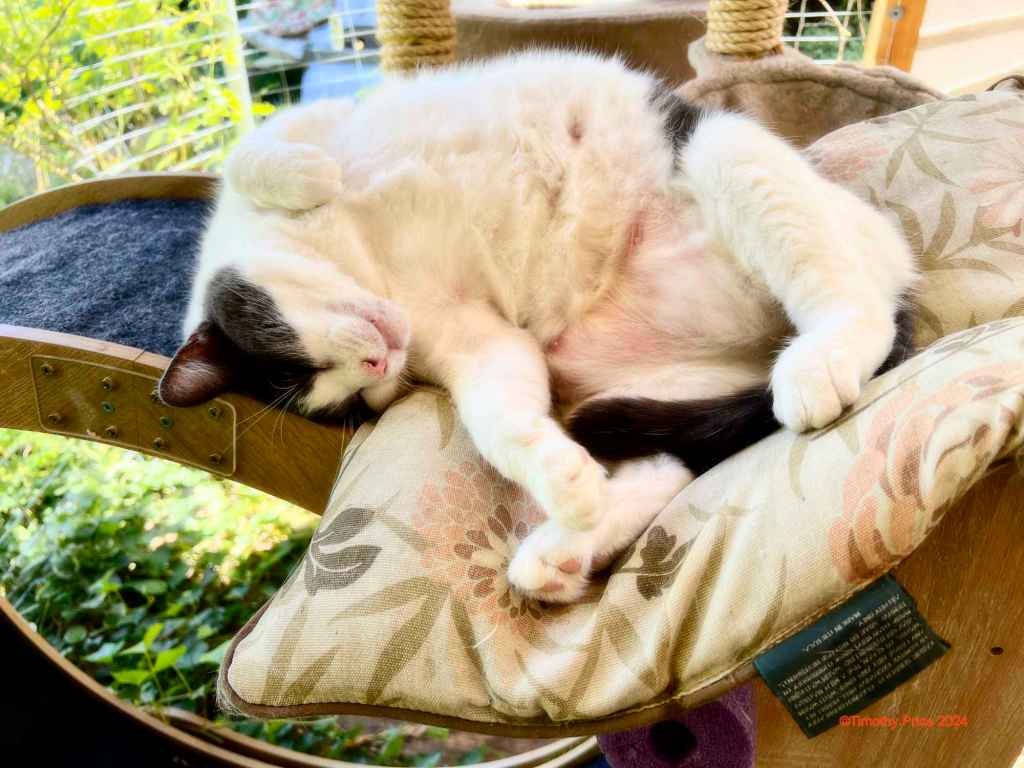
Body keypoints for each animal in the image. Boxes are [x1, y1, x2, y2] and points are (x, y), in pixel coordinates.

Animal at [159, 51, 916, 603]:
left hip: (722, 153)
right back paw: (563, 549)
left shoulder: (314, 119)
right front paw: (563, 480)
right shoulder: (477, 338)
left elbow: (247, 154)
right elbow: (499, 421)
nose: (375, 369)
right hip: (633, 383)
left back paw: (819, 361)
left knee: (856, 305)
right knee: (672, 462)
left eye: (302, 365)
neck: (371, 263)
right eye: (347, 401)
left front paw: (305, 175)